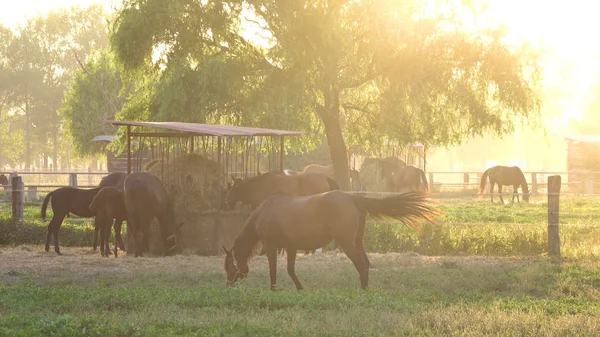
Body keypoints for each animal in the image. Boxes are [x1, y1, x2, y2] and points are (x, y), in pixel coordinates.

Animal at [224, 190, 436, 290]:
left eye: (228, 266)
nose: (228, 285)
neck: (265, 211)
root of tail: (352, 198)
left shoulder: (271, 246)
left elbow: (273, 271)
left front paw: (274, 290)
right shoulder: (291, 248)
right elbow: (290, 270)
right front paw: (300, 289)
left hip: (347, 244)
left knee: (360, 265)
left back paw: (362, 290)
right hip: (357, 243)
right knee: (366, 264)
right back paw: (366, 289)